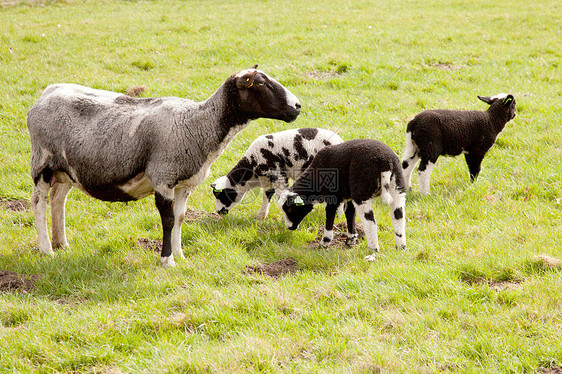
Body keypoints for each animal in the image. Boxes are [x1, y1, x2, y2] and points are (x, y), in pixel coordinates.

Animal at [27, 65, 298, 268]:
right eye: (261, 83)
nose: (297, 106)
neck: (197, 124)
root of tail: (47, 93)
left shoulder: (184, 185)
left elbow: (180, 218)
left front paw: (180, 254)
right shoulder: (163, 178)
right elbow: (167, 220)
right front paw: (167, 260)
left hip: (67, 169)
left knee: (58, 199)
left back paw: (62, 243)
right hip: (42, 162)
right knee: (39, 202)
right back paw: (47, 249)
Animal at [276, 138, 404, 260]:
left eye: (290, 209)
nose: (289, 227)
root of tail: (385, 163)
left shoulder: (333, 196)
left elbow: (330, 216)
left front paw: (325, 243)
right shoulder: (348, 196)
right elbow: (350, 214)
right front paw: (351, 240)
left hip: (361, 191)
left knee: (370, 220)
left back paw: (373, 248)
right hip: (397, 187)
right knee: (398, 215)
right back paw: (401, 247)